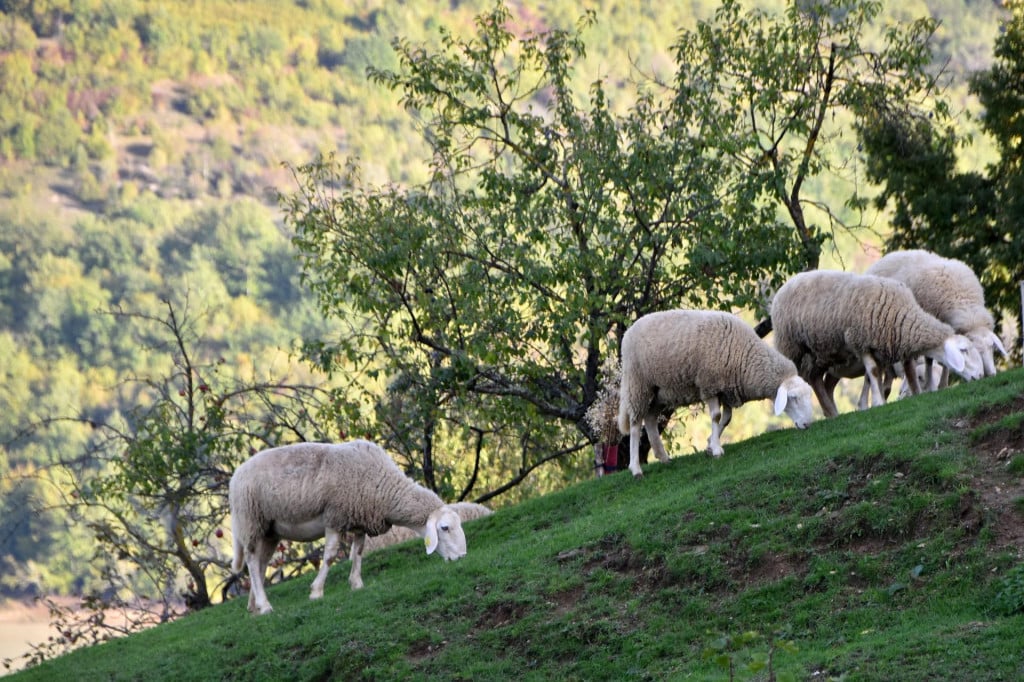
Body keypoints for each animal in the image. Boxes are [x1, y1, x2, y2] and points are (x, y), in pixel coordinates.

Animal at [230, 438, 466, 614]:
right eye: (445, 528)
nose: (462, 557)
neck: (384, 487)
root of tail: (236, 475)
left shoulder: (360, 519)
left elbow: (358, 551)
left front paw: (356, 583)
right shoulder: (335, 516)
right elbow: (330, 556)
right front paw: (316, 591)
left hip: (270, 531)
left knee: (260, 564)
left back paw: (254, 606)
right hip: (250, 521)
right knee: (251, 561)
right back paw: (265, 605)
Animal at [614, 309, 815, 475]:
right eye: (793, 398)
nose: (807, 425)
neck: (744, 355)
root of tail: (629, 331)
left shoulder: (726, 390)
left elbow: (726, 419)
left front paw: (711, 445)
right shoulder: (709, 385)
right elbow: (717, 416)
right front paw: (717, 450)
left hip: (660, 392)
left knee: (649, 419)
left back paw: (663, 457)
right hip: (638, 385)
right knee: (635, 424)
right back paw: (636, 468)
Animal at [770, 268, 978, 417]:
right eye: (964, 351)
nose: (979, 376)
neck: (902, 315)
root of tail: (786, 284)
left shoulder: (885, 347)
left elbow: (881, 377)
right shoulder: (860, 342)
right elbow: (874, 372)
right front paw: (877, 403)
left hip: (823, 352)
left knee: (815, 379)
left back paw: (832, 412)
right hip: (791, 346)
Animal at [864, 246, 1007, 382]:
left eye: (992, 348)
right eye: (976, 350)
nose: (991, 375)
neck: (964, 302)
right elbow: (930, 359)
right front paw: (931, 382)